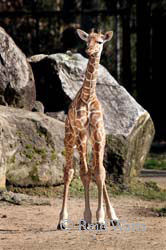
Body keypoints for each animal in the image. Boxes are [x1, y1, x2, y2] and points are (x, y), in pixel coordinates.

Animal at [57, 28, 118, 229]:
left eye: (100, 41)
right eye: (87, 40)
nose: (89, 50)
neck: (88, 97)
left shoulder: (98, 135)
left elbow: (99, 172)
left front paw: (101, 218)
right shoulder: (81, 133)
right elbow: (85, 173)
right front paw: (89, 217)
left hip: (94, 140)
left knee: (97, 169)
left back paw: (113, 217)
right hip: (71, 137)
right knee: (70, 171)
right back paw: (62, 220)